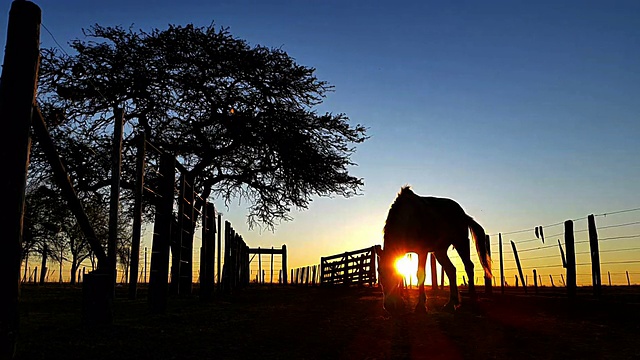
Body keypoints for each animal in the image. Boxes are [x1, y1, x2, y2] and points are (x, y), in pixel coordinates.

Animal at [378, 186, 492, 316]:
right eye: (380, 273)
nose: (388, 306)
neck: (408, 219)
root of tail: (463, 214)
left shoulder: (422, 251)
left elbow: (420, 274)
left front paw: (421, 306)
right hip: (439, 251)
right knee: (451, 270)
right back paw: (451, 304)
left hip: (460, 242)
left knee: (468, 266)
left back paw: (473, 302)